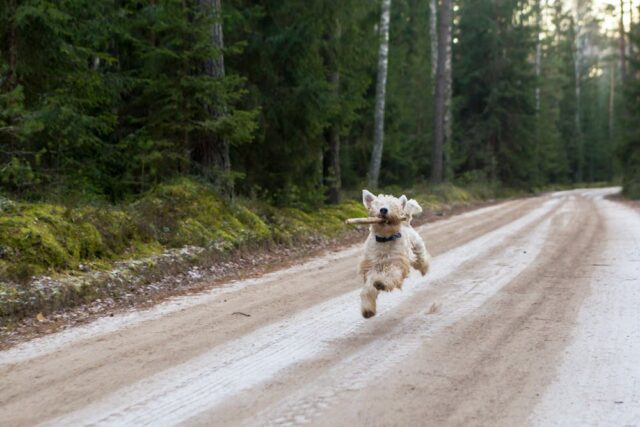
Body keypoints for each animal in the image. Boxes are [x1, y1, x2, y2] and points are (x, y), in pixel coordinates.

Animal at [360, 190, 430, 318]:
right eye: (377, 203)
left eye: (393, 204)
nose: (383, 210)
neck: (385, 238)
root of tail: (406, 223)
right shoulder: (372, 266)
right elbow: (368, 288)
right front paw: (368, 309)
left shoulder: (397, 262)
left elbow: (391, 273)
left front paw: (382, 282)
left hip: (418, 248)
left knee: (422, 260)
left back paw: (424, 269)